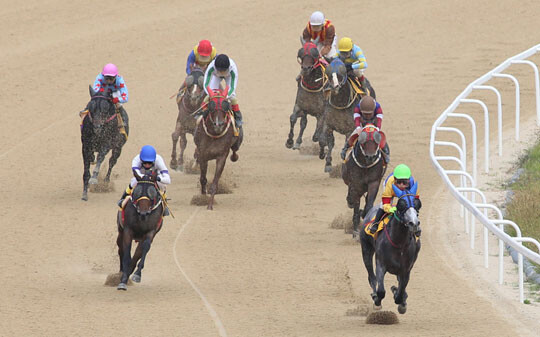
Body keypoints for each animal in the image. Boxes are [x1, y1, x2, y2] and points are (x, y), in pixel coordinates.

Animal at [358, 184, 422, 312]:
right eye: (401, 205)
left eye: (418, 204)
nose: (414, 223)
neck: (399, 243)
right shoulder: (380, 264)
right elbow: (381, 291)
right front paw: (377, 300)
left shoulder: (406, 269)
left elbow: (400, 292)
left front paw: (400, 299)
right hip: (366, 250)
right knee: (371, 277)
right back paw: (374, 294)